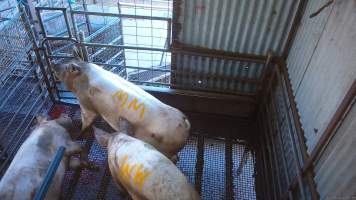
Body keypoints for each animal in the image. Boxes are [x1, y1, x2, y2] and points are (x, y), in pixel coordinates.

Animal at [52, 47, 191, 162]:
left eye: (66, 68)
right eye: (67, 59)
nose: (54, 65)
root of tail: (184, 123)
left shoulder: (85, 103)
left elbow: (87, 119)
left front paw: (77, 134)